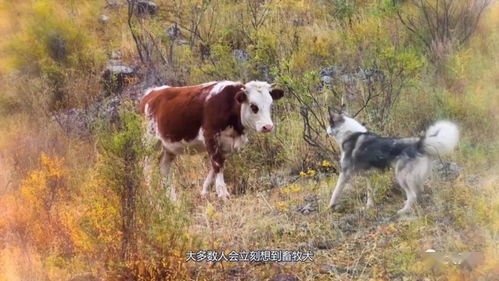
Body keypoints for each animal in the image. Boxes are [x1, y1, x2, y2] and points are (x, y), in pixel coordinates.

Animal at [139, 80, 286, 198]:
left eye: (270, 104)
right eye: (253, 106)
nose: (267, 126)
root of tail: (150, 94)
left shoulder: (226, 144)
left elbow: (216, 166)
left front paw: (205, 191)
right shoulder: (210, 136)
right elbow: (217, 164)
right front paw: (222, 192)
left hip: (168, 146)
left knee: (164, 167)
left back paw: (171, 196)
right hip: (149, 141)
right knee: (146, 166)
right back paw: (150, 192)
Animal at [326, 108, 458, 213]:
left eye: (329, 123)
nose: (326, 131)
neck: (349, 133)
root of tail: (419, 144)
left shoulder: (345, 173)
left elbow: (335, 192)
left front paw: (330, 207)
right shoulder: (368, 176)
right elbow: (369, 192)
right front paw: (369, 206)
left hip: (402, 176)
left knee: (413, 195)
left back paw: (403, 211)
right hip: (413, 178)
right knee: (418, 192)